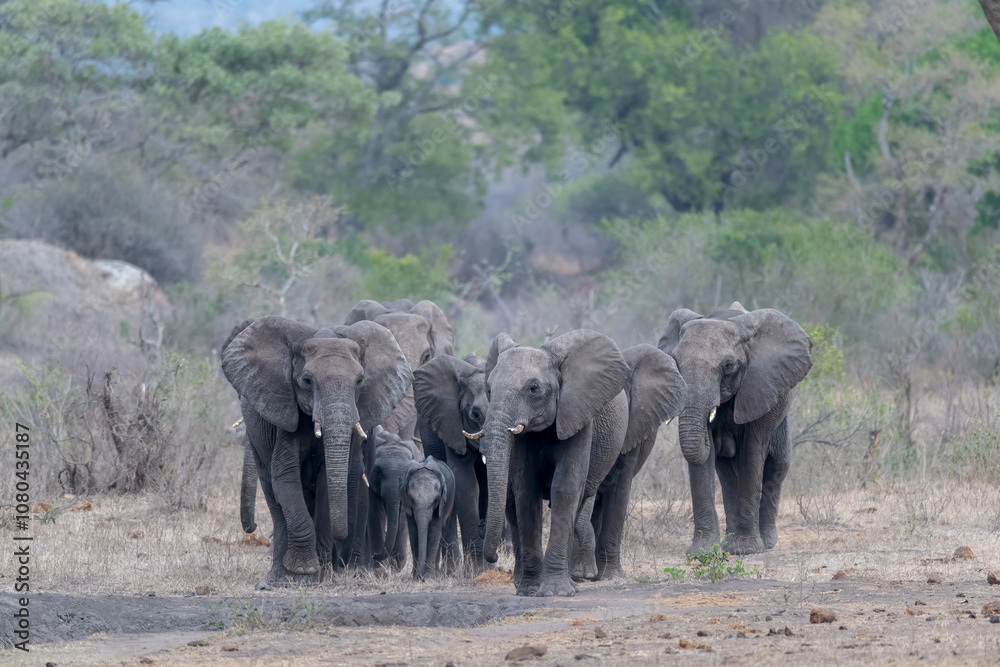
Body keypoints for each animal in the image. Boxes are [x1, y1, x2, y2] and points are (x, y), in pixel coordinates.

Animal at [221, 316, 412, 585]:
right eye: (307, 381)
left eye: (360, 381)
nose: (252, 527)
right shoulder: (285, 413)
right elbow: (285, 477)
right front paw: (303, 570)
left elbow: (327, 483)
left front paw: (320, 574)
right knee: (273, 495)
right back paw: (278, 578)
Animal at [368, 425, 421, 568]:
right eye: (377, 471)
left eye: (407, 472)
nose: (375, 555)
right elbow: (375, 514)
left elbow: (402, 517)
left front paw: (395, 564)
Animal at [412, 353, 491, 569]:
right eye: (475, 414)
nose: (482, 527)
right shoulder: (451, 423)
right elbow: (464, 481)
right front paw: (477, 571)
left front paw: (488, 569)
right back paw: (451, 570)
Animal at [474, 329, 632, 597]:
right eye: (489, 389)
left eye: (533, 389)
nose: (493, 557)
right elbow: (526, 491)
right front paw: (529, 591)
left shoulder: (578, 414)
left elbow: (565, 487)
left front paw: (555, 593)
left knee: (577, 502)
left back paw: (571, 583)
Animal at [657, 302, 812, 556]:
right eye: (675, 361)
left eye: (728, 365)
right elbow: (706, 461)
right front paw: (702, 551)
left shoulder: (760, 385)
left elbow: (752, 453)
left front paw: (746, 550)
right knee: (728, 474)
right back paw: (728, 542)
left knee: (777, 464)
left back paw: (766, 542)